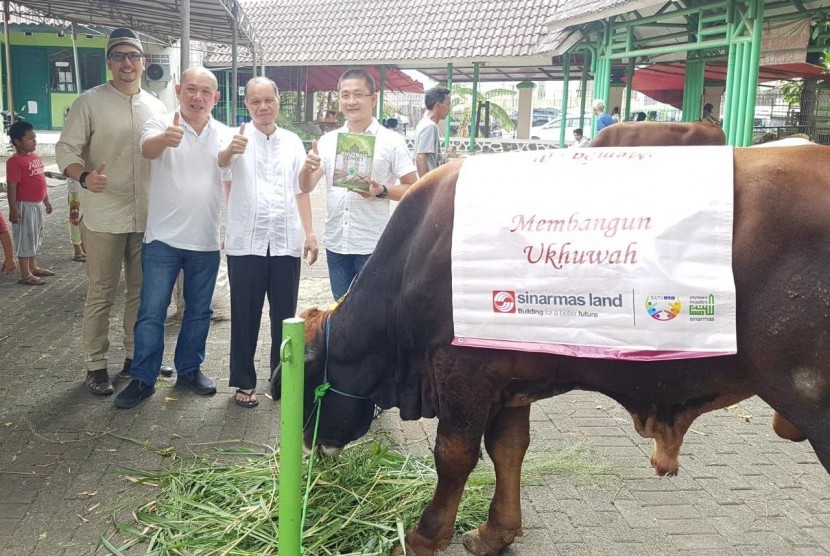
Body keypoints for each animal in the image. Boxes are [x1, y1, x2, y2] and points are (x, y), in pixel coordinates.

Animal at [288, 147, 830, 556]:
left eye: (300, 381)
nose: (311, 451)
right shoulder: (508, 382)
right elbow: (508, 450)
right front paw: (496, 532)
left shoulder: (463, 371)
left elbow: (454, 455)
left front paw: (425, 534)